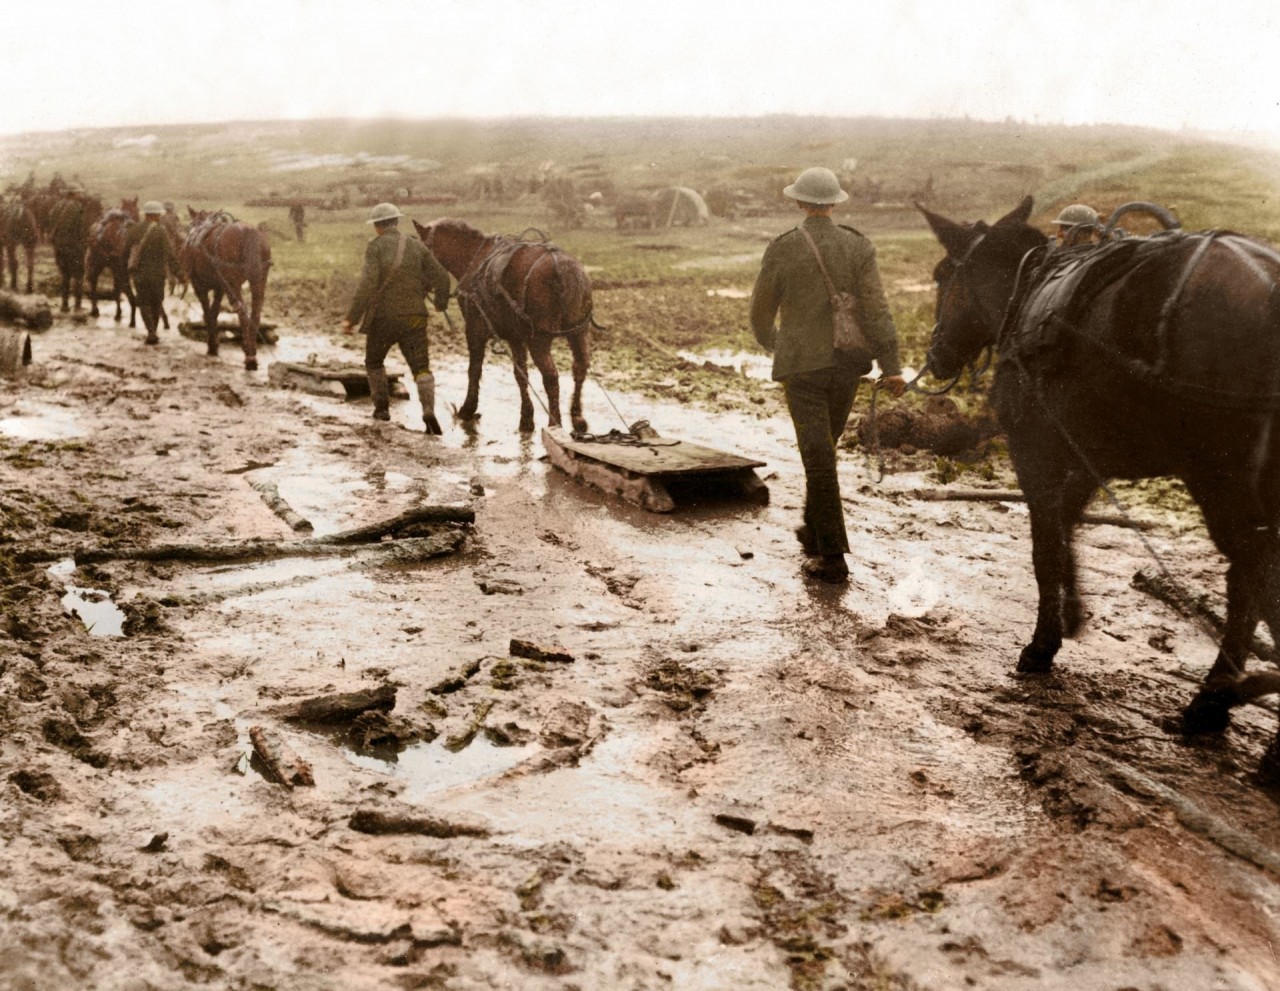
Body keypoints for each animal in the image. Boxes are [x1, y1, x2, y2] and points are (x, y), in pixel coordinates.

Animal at [84, 198, 139, 326]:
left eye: (137, 210)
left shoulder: (119, 269)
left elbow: (118, 289)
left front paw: (121, 314)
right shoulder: (122, 270)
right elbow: (126, 291)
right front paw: (131, 320)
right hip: (96, 263)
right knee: (93, 281)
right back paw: (95, 310)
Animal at [181, 207, 271, 371]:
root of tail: (249, 233)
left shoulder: (199, 286)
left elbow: (207, 313)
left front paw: (212, 345)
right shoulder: (220, 287)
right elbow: (214, 311)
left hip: (233, 284)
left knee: (242, 312)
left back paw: (249, 355)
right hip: (258, 281)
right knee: (255, 313)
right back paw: (252, 351)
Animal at [412, 217, 596, 435]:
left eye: (423, 250)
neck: (474, 259)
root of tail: (563, 268)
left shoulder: (475, 329)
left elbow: (474, 369)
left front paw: (468, 409)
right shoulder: (516, 337)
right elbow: (520, 374)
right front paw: (526, 418)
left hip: (540, 341)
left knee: (551, 377)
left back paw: (555, 423)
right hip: (578, 333)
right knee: (580, 368)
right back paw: (577, 419)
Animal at [921, 198, 1280, 778]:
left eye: (941, 275)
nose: (936, 355)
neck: (1026, 294)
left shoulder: (1036, 451)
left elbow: (1045, 545)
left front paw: (1042, 644)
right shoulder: (1092, 457)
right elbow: (1068, 522)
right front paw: (1073, 612)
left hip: (1220, 483)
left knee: (1251, 579)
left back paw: (1219, 705)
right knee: (1254, 581)